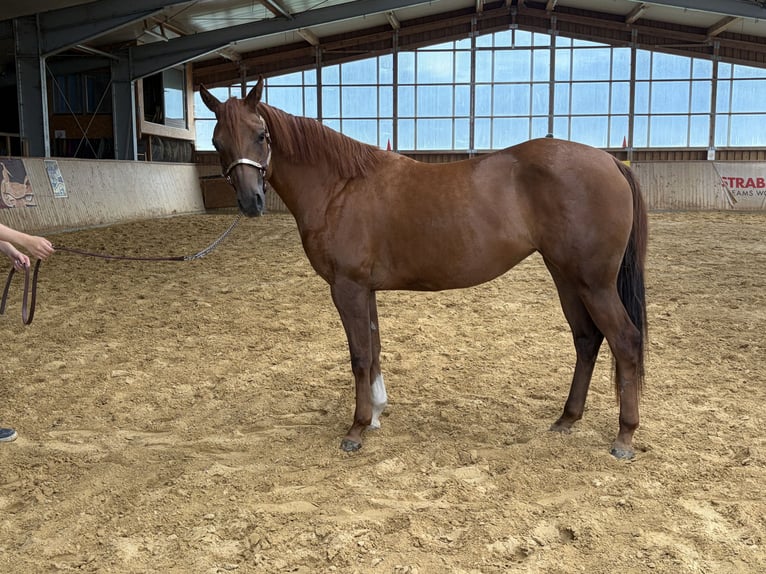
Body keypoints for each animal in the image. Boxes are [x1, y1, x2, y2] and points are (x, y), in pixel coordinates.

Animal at [199, 77, 648, 459]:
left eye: (261, 135)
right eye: (217, 141)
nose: (251, 202)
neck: (340, 187)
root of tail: (610, 162)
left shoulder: (347, 287)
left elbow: (359, 355)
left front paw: (356, 429)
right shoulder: (365, 289)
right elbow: (375, 348)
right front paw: (376, 413)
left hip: (594, 282)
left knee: (625, 341)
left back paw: (624, 436)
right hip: (566, 276)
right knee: (587, 339)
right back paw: (566, 419)